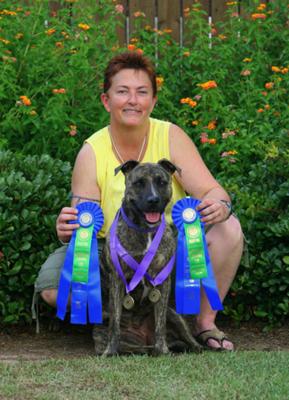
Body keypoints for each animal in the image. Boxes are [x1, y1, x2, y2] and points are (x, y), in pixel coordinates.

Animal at [102, 159, 200, 356]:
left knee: (184, 333)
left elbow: (159, 324)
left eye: (161, 182)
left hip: (174, 316)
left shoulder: (163, 280)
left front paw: (162, 350)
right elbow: (114, 323)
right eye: (139, 183)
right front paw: (110, 350)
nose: (153, 200)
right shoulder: (117, 278)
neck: (144, 229)